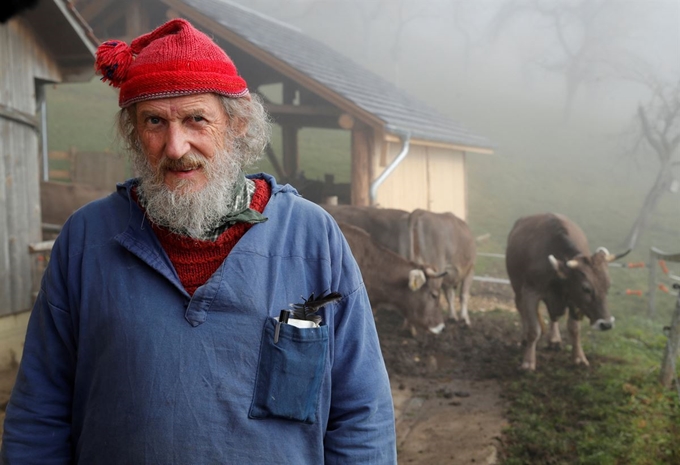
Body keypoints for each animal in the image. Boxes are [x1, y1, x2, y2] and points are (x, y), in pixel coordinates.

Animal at [504, 213, 632, 370]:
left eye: (608, 286)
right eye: (586, 288)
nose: (606, 324)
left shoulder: (574, 300)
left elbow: (574, 329)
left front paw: (579, 358)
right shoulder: (530, 292)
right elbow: (534, 330)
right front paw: (528, 362)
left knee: (553, 316)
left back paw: (554, 339)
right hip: (517, 286)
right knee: (521, 309)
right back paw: (524, 338)